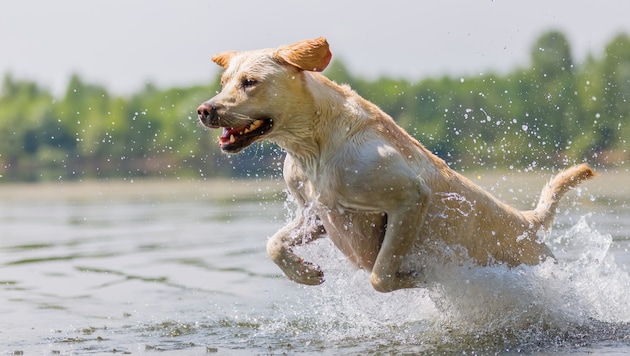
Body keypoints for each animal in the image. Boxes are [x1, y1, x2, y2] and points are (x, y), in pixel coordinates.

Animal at [198, 36, 596, 292]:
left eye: (250, 82)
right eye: (224, 82)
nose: (205, 109)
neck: (314, 143)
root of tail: (528, 221)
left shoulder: (409, 197)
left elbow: (379, 274)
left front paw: (418, 278)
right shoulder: (316, 213)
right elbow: (274, 244)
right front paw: (304, 272)